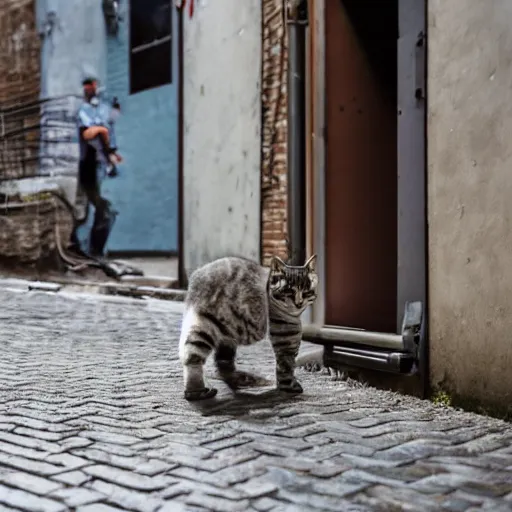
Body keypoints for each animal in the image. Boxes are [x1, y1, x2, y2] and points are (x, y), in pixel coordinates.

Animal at [178, 254, 318, 402]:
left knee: (205, 357)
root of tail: (199, 275)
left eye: (306, 292)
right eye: (289, 292)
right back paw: (198, 390)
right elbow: (286, 366)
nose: (299, 303)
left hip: (211, 327)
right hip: (214, 327)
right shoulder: (286, 339)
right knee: (195, 357)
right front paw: (288, 386)